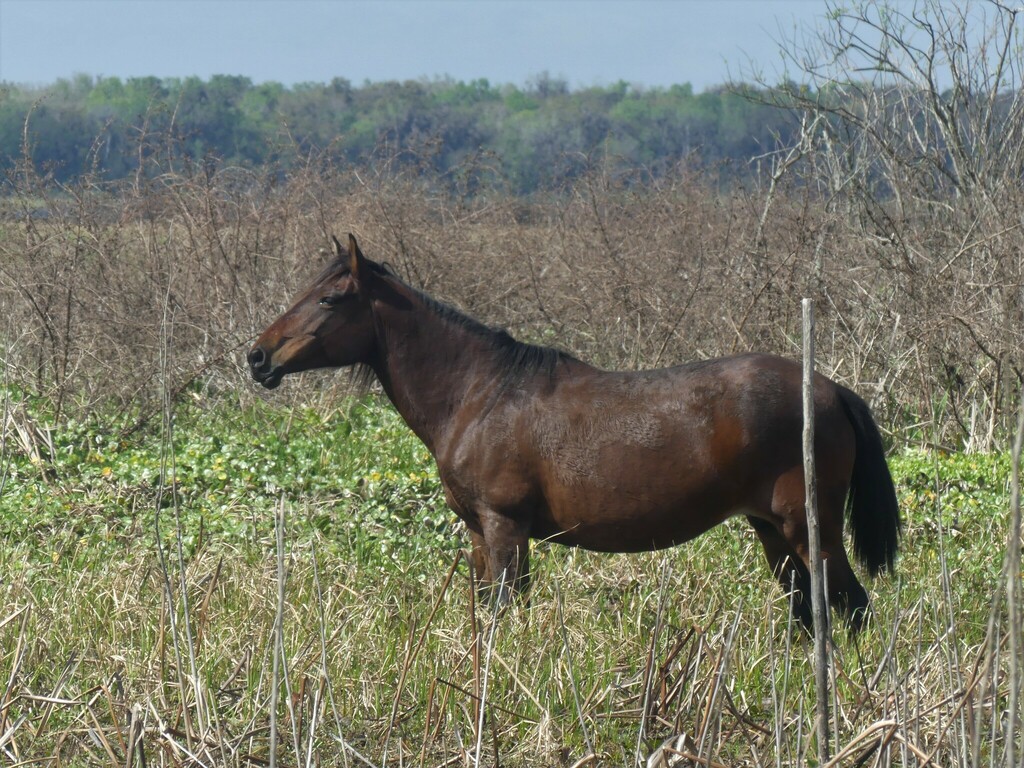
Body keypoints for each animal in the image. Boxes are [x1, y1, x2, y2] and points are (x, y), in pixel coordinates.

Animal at [248, 234, 901, 633]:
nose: (258, 358)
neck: (482, 394)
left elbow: (506, 613)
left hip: (808, 530)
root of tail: (829, 389)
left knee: (851, 608)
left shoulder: (506, 528)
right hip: (772, 532)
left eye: (330, 298)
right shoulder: (480, 533)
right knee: (812, 612)